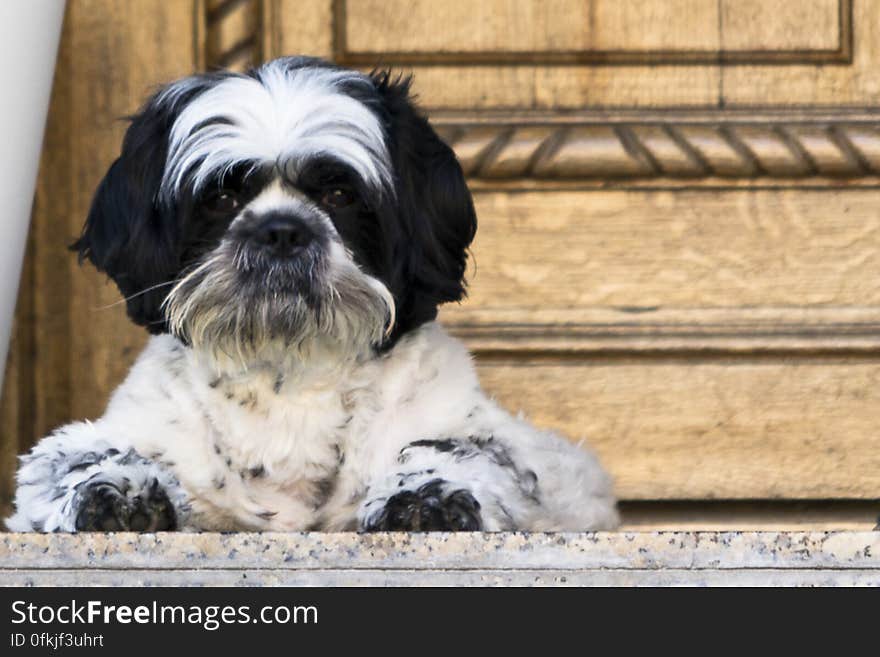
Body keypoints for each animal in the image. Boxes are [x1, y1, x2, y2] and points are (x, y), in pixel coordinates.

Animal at [5, 56, 620, 532]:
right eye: (222, 199)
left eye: (340, 195)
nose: (281, 229)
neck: (290, 376)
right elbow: (79, 454)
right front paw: (115, 489)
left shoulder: (526, 456)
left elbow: (464, 450)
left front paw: (426, 494)